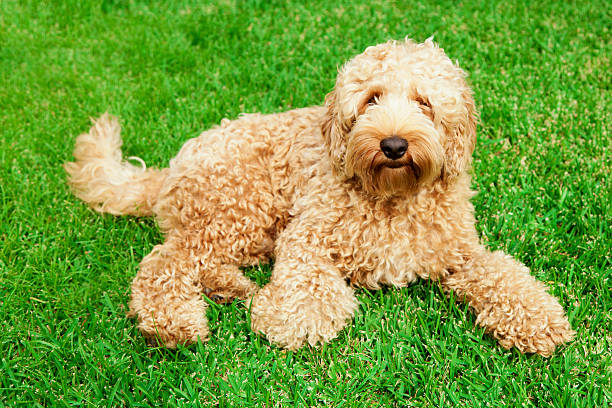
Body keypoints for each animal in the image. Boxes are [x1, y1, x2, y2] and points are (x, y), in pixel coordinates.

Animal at [65, 39, 572, 356]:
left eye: (424, 102)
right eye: (371, 99)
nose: (393, 144)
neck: (392, 196)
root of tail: (171, 167)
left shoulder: (459, 253)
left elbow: (504, 274)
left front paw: (540, 322)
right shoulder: (307, 234)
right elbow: (307, 281)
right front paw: (296, 320)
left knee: (195, 261)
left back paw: (233, 288)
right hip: (240, 207)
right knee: (164, 263)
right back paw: (175, 324)